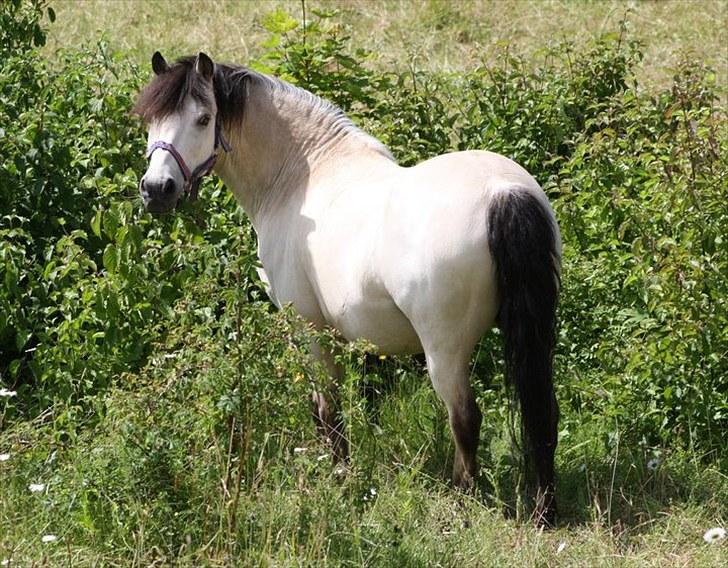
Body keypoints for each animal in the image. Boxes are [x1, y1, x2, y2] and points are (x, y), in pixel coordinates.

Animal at [132, 51, 564, 524]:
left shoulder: (309, 329)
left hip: (444, 350)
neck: (302, 177)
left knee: (465, 418)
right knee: (542, 413)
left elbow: (327, 410)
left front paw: (337, 477)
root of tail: (502, 192)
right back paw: (544, 508)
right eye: (150, 120)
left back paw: (463, 495)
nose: (156, 190)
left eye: (204, 118)